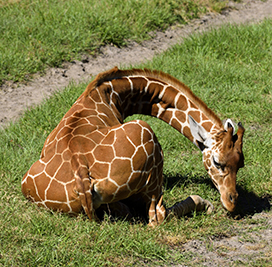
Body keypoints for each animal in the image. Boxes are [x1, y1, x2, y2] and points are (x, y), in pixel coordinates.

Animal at [22, 67, 245, 226]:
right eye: (217, 162)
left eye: (240, 164)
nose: (232, 202)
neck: (114, 94)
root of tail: (81, 174)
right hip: (147, 135)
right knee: (157, 218)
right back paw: (204, 204)